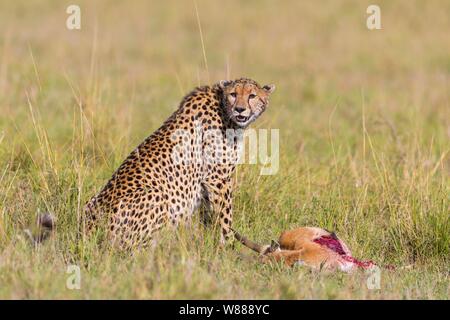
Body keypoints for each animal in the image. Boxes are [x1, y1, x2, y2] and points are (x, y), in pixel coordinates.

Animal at [82, 79, 276, 249]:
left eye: (252, 95)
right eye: (233, 94)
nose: (240, 109)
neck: (223, 108)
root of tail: (87, 232)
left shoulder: (207, 183)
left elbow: (209, 216)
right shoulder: (217, 178)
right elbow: (225, 217)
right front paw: (228, 247)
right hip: (156, 195)